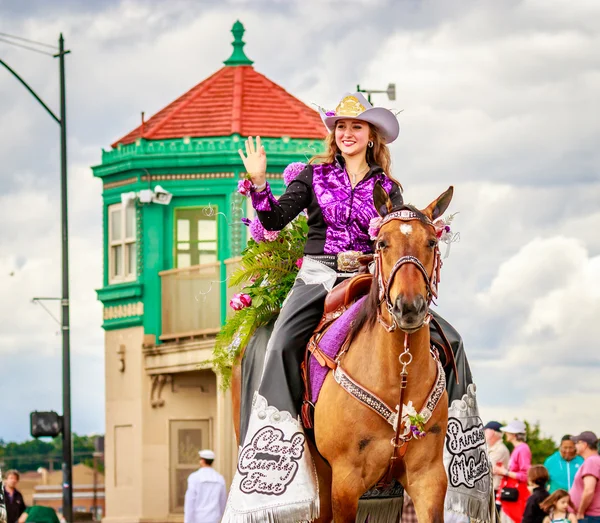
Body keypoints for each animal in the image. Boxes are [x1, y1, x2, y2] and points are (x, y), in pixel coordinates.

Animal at [232, 185, 452, 523]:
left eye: (431, 242)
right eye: (382, 243)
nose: (409, 307)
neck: (397, 376)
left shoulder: (428, 478)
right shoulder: (346, 483)